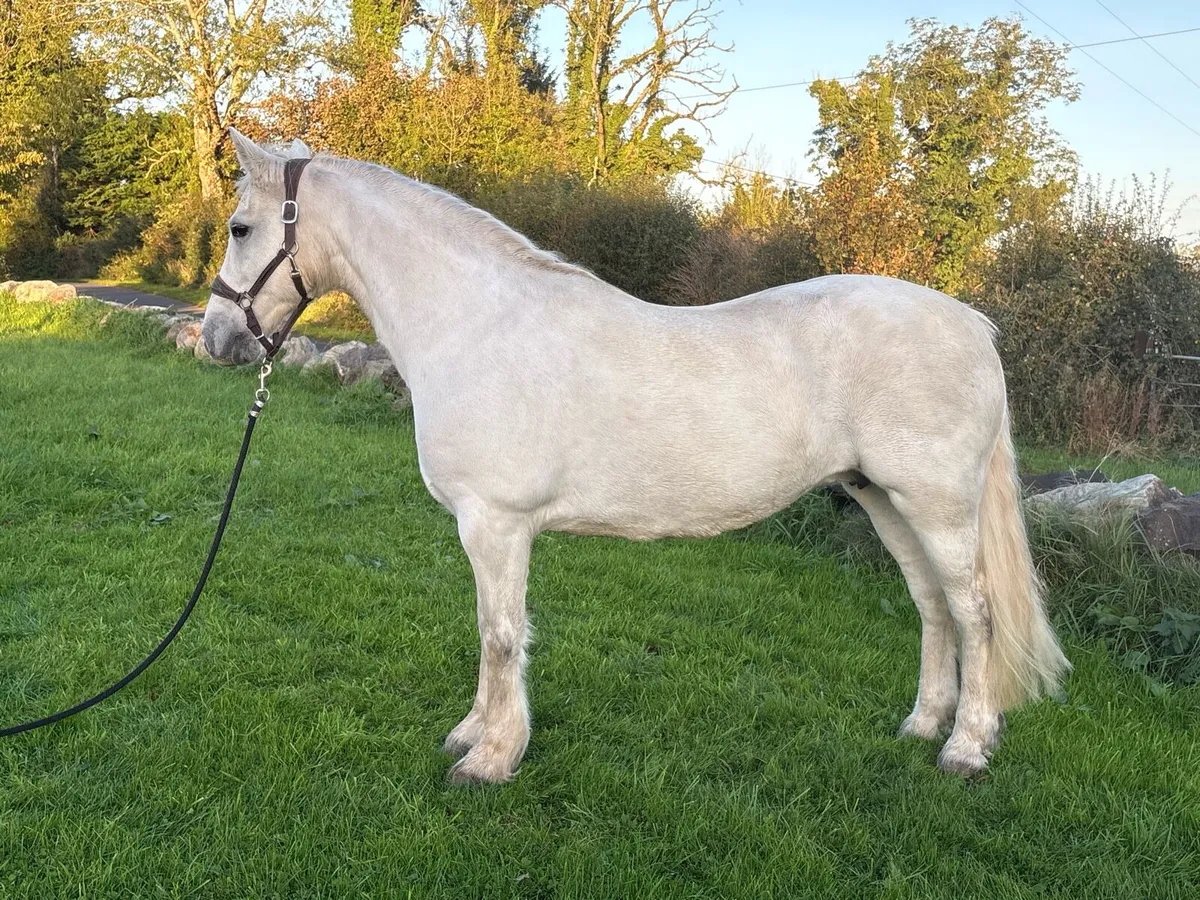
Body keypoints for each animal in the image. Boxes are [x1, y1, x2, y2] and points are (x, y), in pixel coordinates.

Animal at [202, 130, 1069, 784]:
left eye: (241, 228)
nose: (218, 339)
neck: (476, 321)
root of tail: (970, 325)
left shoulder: (495, 524)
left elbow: (501, 633)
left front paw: (489, 759)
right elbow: (490, 631)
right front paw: (472, 734)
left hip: (935, 505)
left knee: (973, 611)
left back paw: (965, 748)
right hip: (882, 498)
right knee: (933, 608)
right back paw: (922, 725)